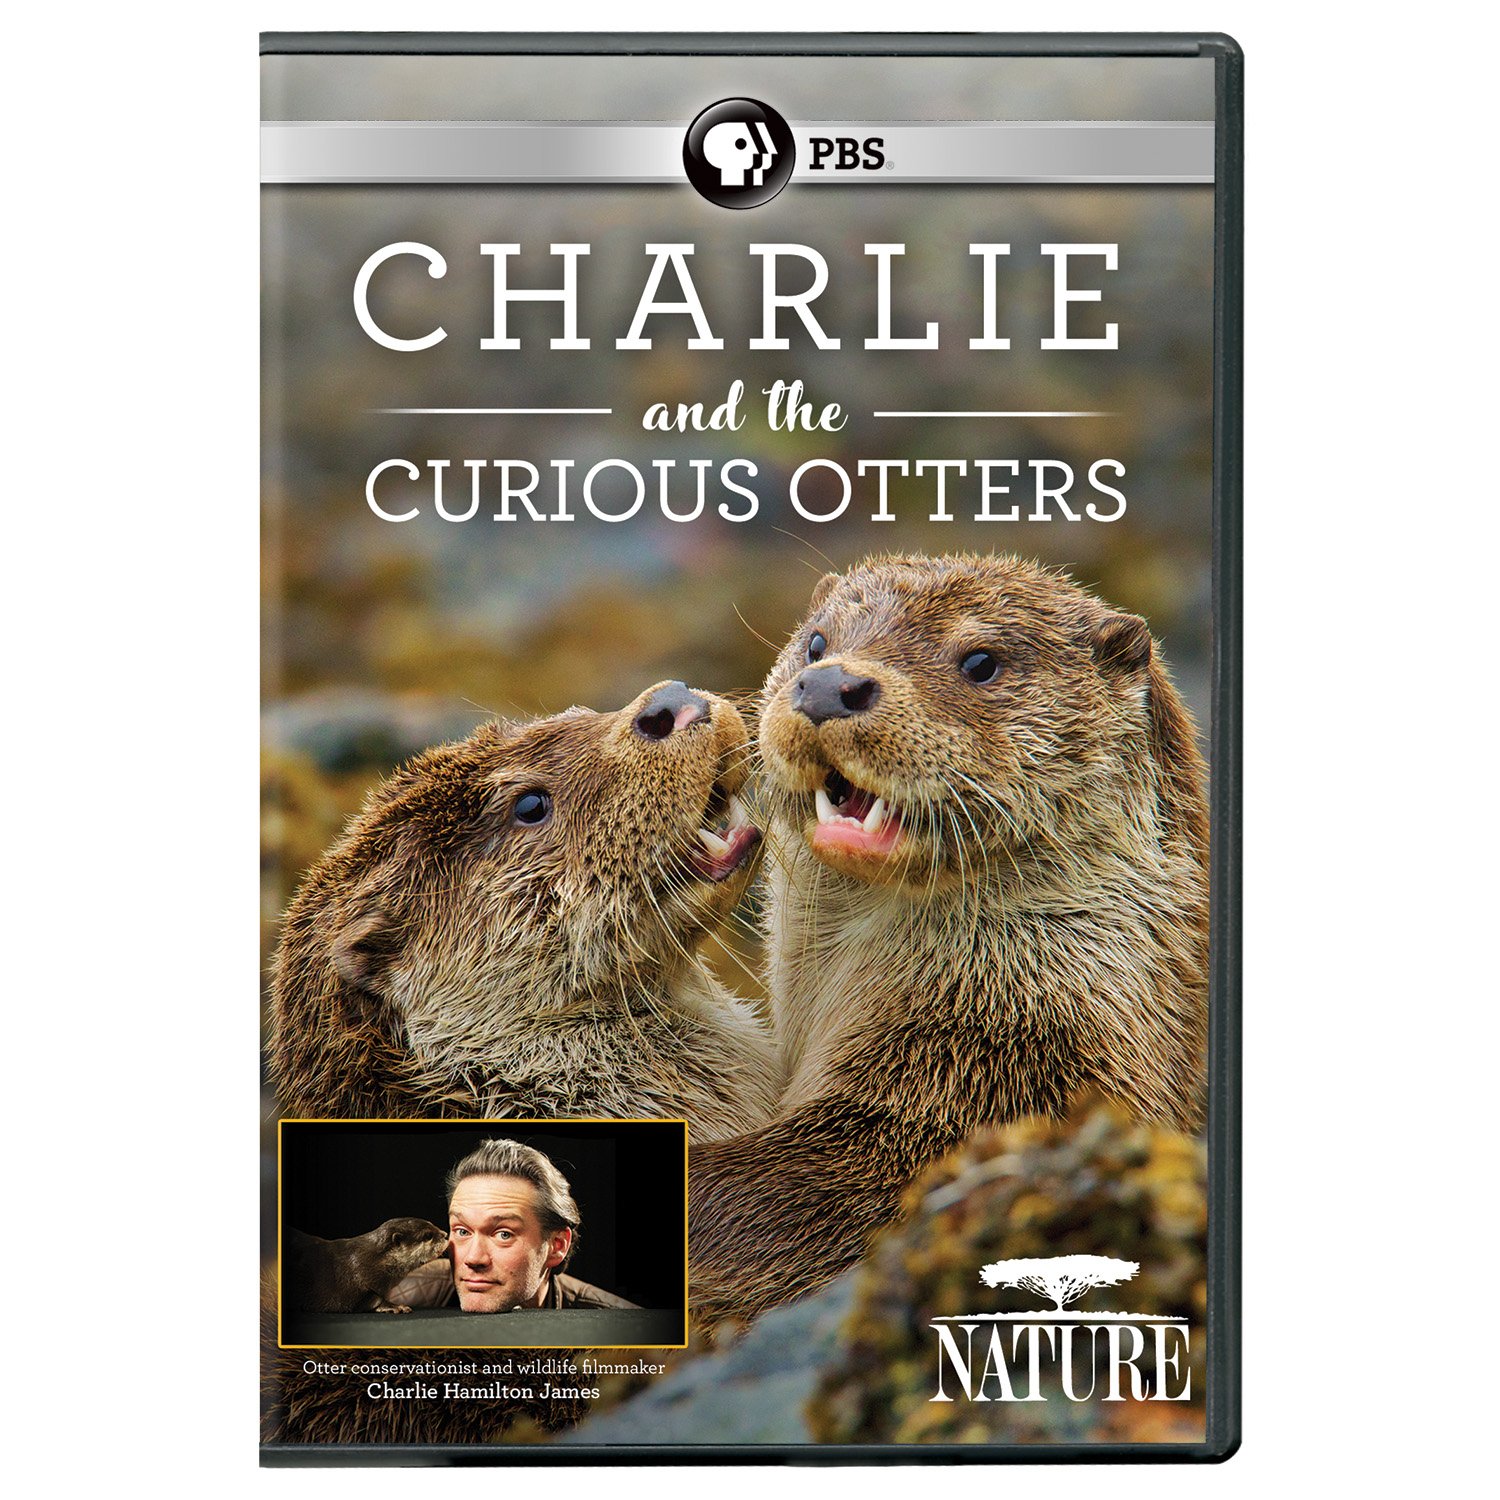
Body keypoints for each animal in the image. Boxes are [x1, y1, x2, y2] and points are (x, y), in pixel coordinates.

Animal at [284, 1218, 449, 1314]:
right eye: (428, 1235)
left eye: (434, 1226)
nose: (445, 1234)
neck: (369, 1261)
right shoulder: (341, 1291)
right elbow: (372, 1298)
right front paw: (394, 1306)